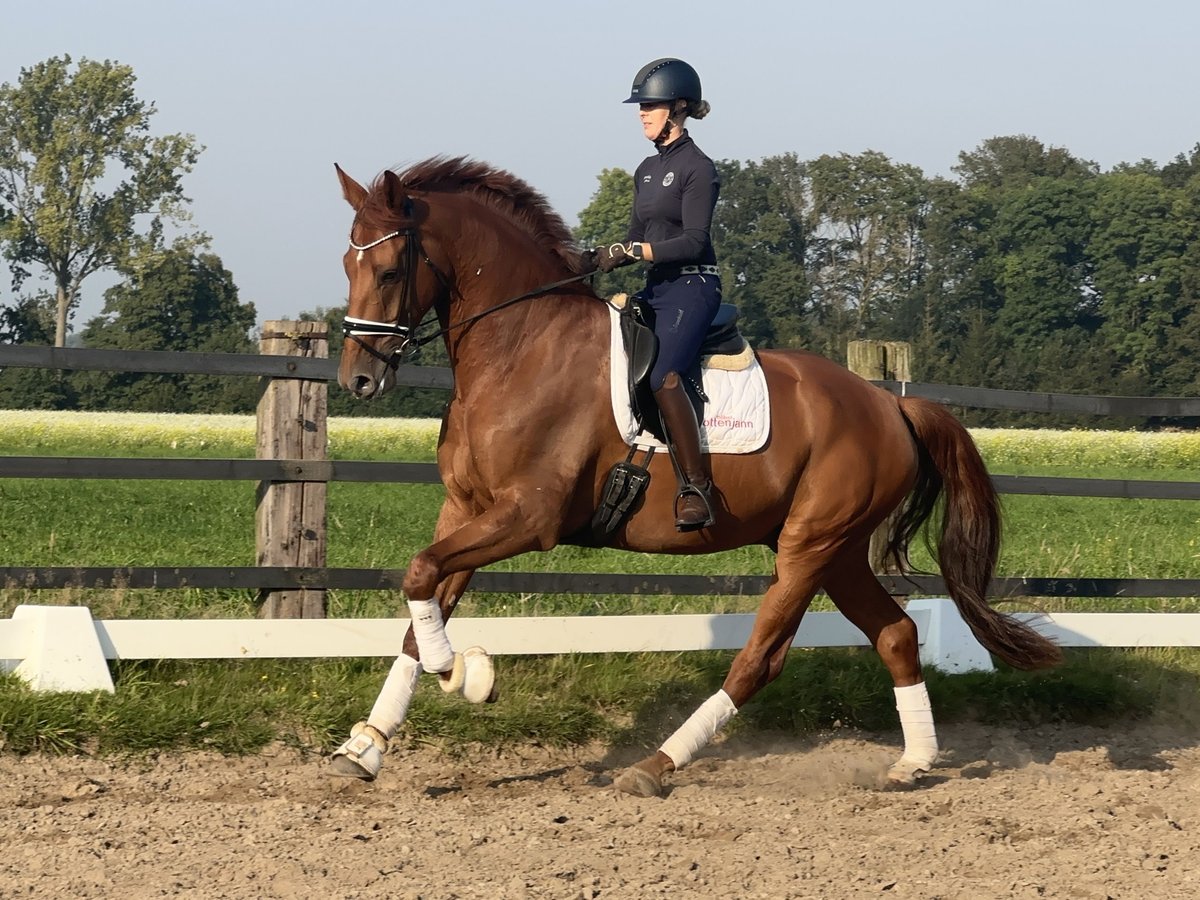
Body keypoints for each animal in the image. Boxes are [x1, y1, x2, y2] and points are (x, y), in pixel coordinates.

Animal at [326, 158, 1060, 801]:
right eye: (346, 264)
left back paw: (656, 765)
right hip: (840, 550)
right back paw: (913, 763)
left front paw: (469, 675)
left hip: (810, 547)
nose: (357, 380)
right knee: (896, 635)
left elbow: (421, 579)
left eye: (388, 269)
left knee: (760, 659)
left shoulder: (527, 518)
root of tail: (889, 403)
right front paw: (366, 748)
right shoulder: (466, 509)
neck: (521, 346)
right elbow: (421, 602)